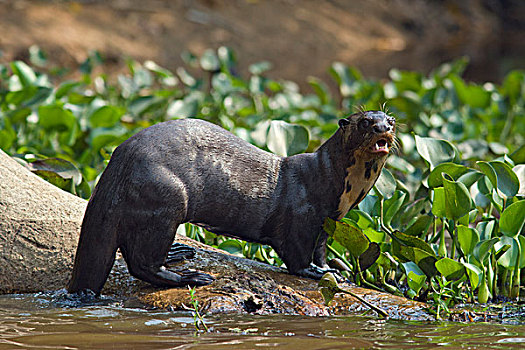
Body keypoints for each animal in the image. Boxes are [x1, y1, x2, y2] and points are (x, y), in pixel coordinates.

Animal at [67, 110, 396, 294]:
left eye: (390, 119)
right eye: (365, 122)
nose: (383, 129)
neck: (333, 183)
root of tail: (116, 169)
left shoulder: (329, 223)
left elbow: (321, 252)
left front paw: (333, 271)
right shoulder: (301, 217)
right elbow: (296, 257)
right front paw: (313, 273)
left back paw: (178, 253)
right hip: (165, 197)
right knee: (140, 263)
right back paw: (190, 277)